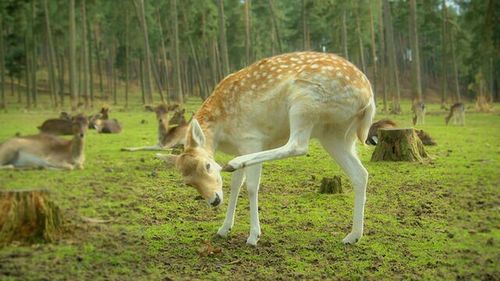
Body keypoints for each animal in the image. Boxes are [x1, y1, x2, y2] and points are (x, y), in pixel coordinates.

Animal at [163, 51, 376, 244]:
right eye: (188, 182)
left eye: (207, 166)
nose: (214, 200)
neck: (221, 131)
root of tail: (369, 99)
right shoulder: (241, 146)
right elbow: (235, 185)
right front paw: (224, 229)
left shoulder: (250, 140)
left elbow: (250, 186)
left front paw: (253, 236)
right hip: (335, 134)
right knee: (360, 174)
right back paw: (353, 236)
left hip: (305, 102)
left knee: (298, 145)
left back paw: (234, 163)